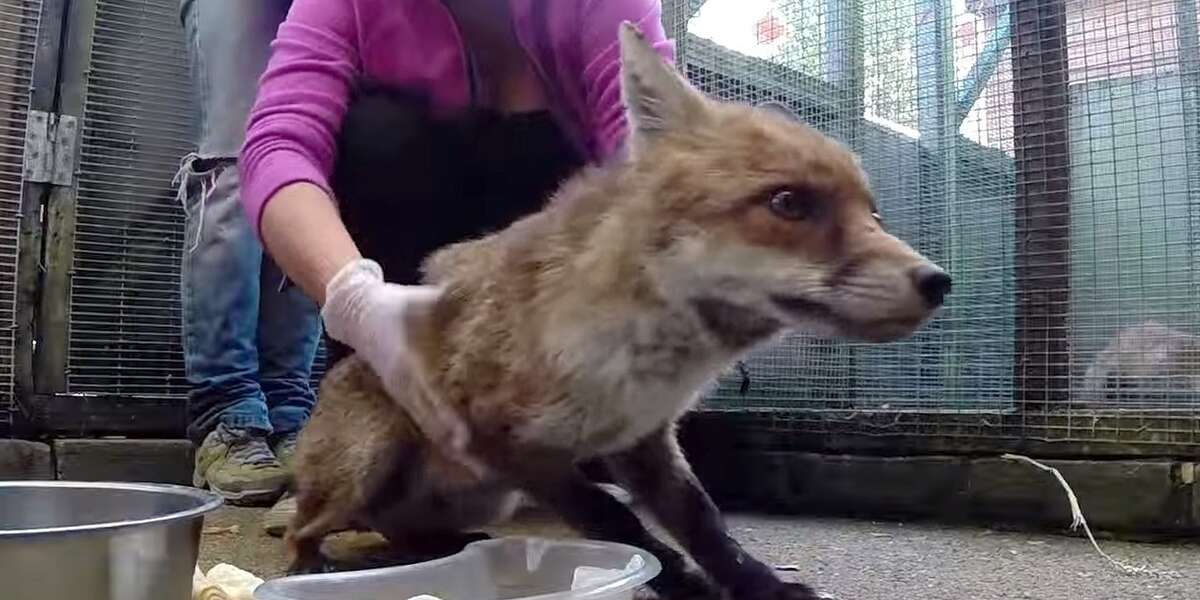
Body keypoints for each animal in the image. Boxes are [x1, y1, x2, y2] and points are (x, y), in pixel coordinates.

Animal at [286, 22, 952, 600]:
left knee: (391, 525)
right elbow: (618, 522)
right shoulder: (508, 444)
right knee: (311, 523)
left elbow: (706, 525)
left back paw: (436, 546)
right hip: (371, 464)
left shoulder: (645, 441)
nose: (937, 282)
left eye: (873, 214)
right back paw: (309, 567)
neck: (640, 363)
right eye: (788, 202)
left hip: (487, 496)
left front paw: (760, 586)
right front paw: (680, 586)